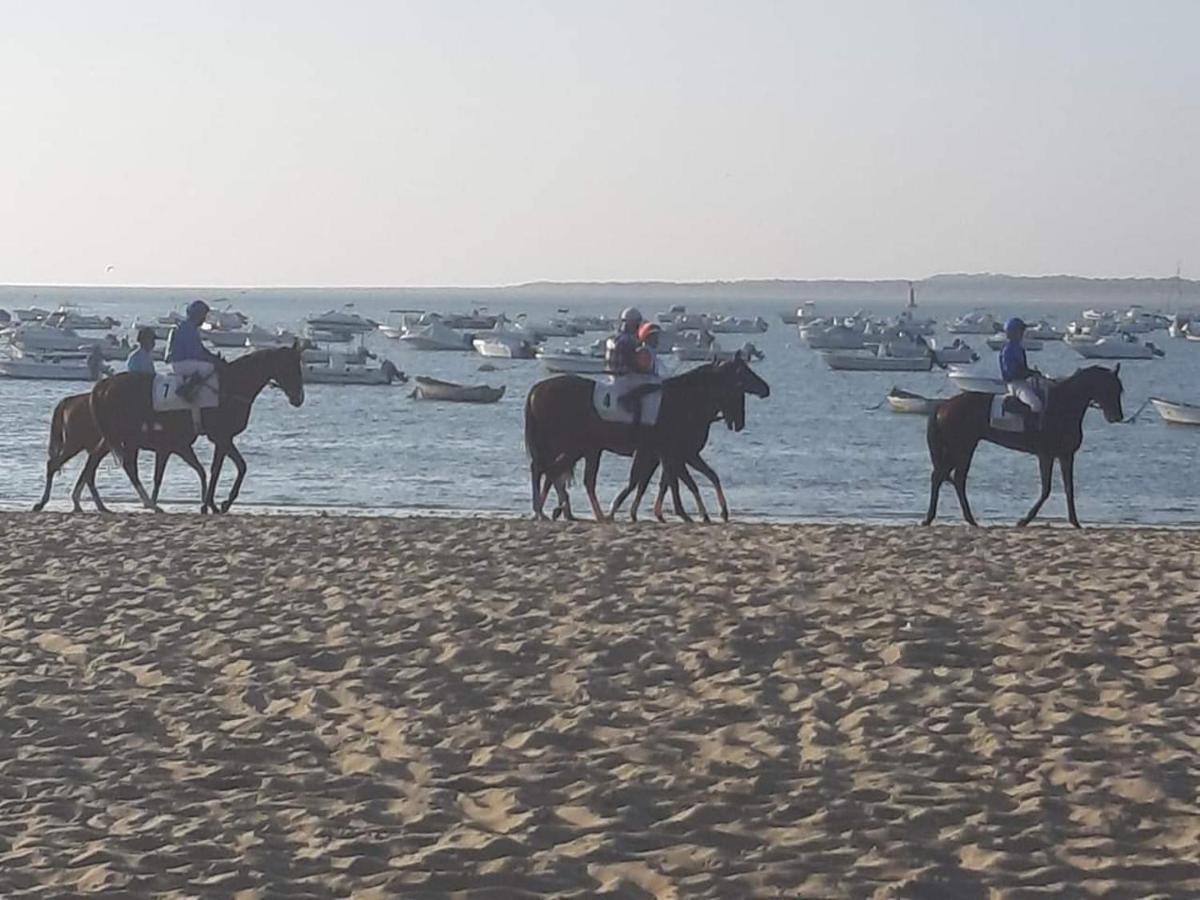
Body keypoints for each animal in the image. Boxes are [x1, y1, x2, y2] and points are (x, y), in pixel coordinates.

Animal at [31, 393, 208, 513]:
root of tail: (69, 401)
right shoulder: (169, 448)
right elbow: (159, 477)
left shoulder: (178, 448)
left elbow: (197, 470)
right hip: (77, 443)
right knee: (56, 465)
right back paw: (44, 502)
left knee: (89, 470)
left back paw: (91, 504)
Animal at [87, 345, 307, 513]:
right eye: (290, 367)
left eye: (300, 367)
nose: (298, 398)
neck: (231, 386)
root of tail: (105, 385)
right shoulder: (221, 437)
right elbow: (225, 468)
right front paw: (217, 504)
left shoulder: (222, 439)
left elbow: (232, 467)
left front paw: (216, 504)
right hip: (126, 435)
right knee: (127, 466)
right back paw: (148, 503)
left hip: (113, 437)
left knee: (97, 462)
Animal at [523, 352, 768, 520]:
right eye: (742, 374)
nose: (766, 389)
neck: (684, 401)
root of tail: (537, 389)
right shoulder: (674, 454)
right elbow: (677, 483)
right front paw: (687, 513)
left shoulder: (672, 455)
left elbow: (661, 481)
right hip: (573, 446)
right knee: (549, 470)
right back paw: (551, 510)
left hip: (582, 448)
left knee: (557, 472)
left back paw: (561, 510)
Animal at [921, 364, 1118, 528]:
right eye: (1110, 388)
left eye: (1118, 389)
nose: (1117, 416)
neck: (1062, 406)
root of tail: (944, 405)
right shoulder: (1046, 455)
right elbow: (1046, 489)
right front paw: (1024, 520)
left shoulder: (1066, 455)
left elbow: (1069, 488)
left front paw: (1075, 522)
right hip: (960, 448)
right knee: (945, 477)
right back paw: (936, 518)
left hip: (962, 448)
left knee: (951, 478)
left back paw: (964, 519)